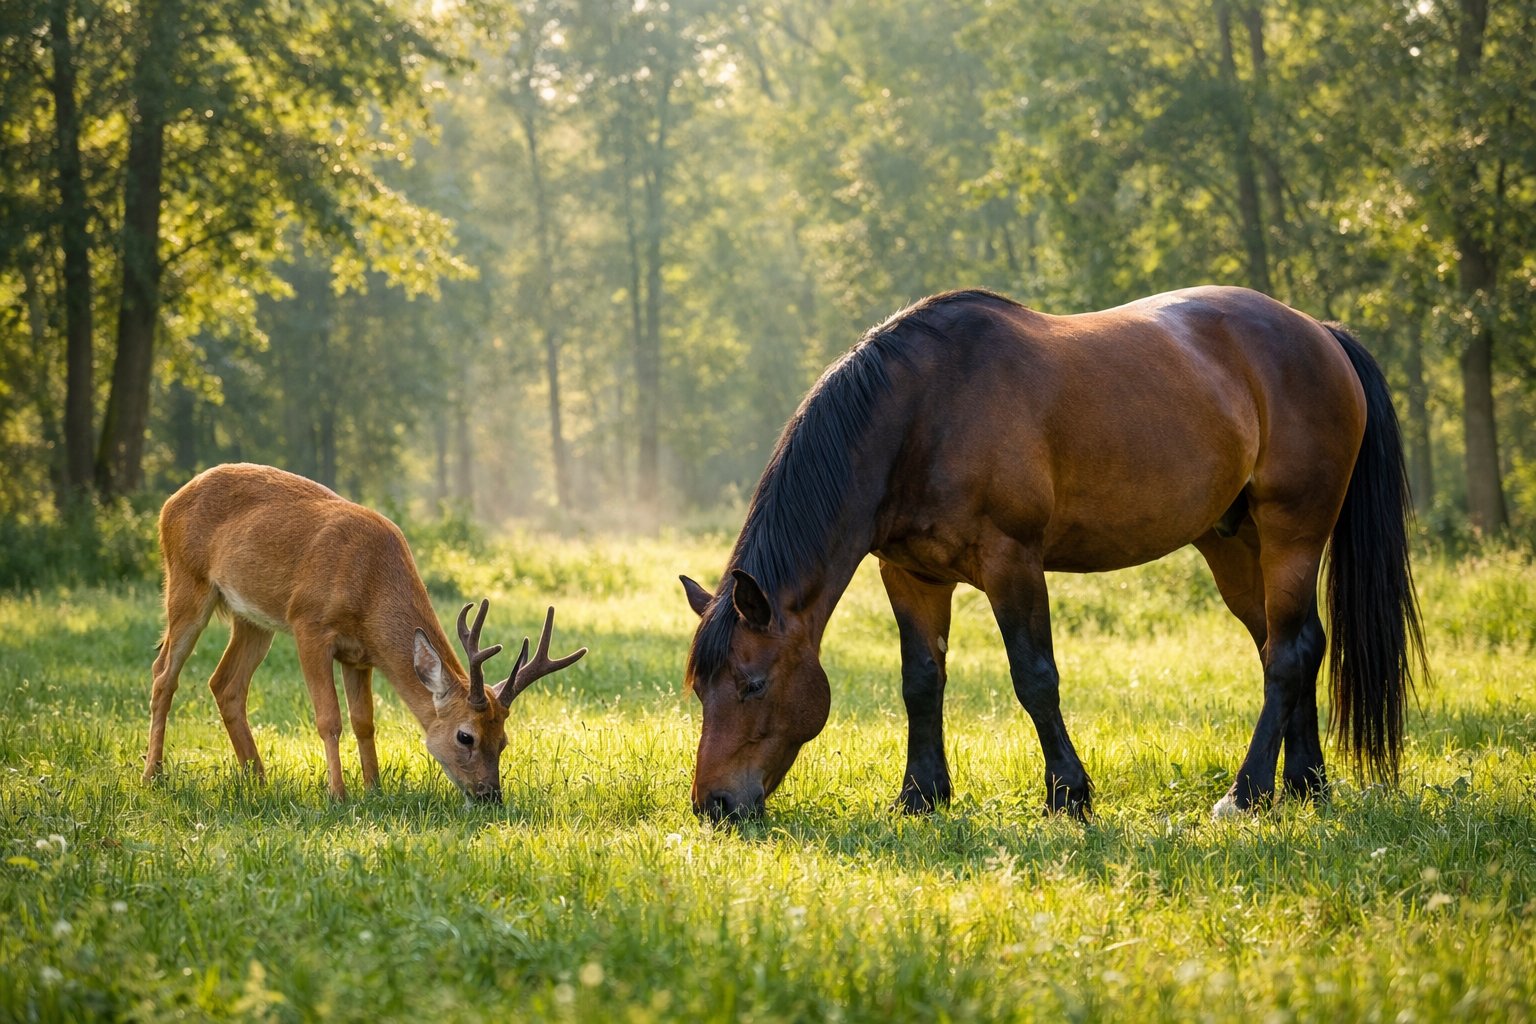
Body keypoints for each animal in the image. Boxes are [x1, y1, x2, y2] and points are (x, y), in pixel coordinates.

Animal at [143, 462, 586, 802]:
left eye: (504, 740)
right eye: (466, 737)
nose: (490, 795)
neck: (371, 587)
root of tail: (168, 503)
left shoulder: (360, 655)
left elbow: (364, 721)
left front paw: (374, 789)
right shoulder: (309, 624)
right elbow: (329, 718)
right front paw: (338, 794)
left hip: (252, 618)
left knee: (225, 683)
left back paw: (259, 778)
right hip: (187, 583)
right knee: (164, 672)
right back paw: (154, 774)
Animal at [679, 286, 1425, 822]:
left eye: (752, 684)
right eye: (700, 688)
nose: (714, 806)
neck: (922, 413)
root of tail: (1319, 334)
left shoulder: (1012, 563)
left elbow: (1034, 677)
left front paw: (1068, 794)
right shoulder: (911, 575)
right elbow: (921, 681)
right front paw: (920, 796)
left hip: (1293, 531)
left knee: (1289, 654)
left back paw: (1244, 795)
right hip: (1234, 544)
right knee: (1289, 645)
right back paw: (1303, 784)